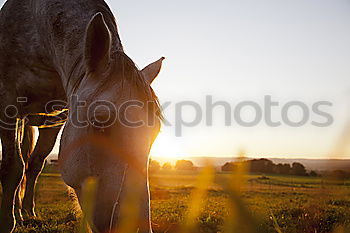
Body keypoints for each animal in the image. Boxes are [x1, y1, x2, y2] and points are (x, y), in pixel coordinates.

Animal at [0, 0, 164, 232]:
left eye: (155, 132)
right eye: (100, 122)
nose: (133, 227)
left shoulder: (56, 121)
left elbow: (33, 164)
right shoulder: (7, 103)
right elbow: (12, 167)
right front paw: (6, 222)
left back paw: (26, 212)